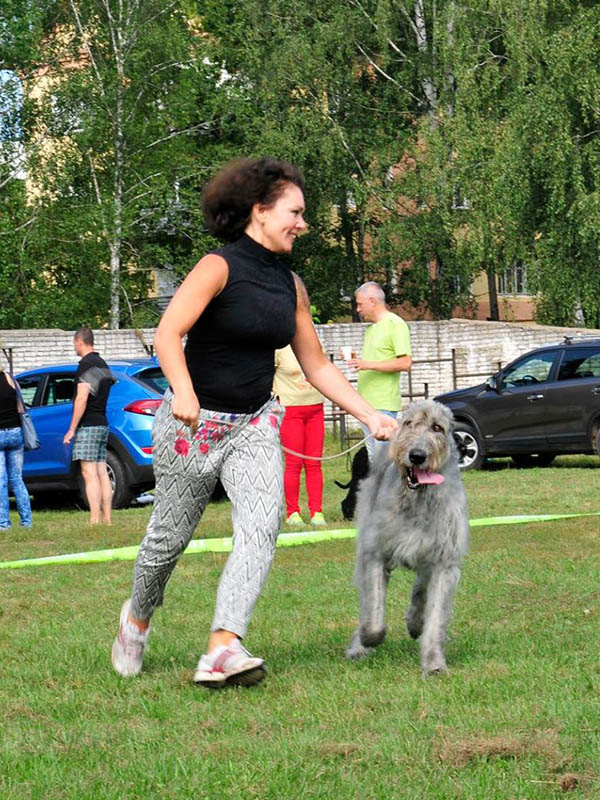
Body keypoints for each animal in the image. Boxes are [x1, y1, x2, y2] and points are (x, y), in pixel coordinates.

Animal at [346, 400, 468, 676]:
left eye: (437, 427)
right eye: (409, 423)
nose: (417, 455)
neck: (418, 498)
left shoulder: (444, 561)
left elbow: (435, 615)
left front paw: (434, 663)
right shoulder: (376, 553)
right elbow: (374, 613)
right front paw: (367, 637)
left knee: (420, 587)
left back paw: (415, 622)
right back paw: (359, 646)